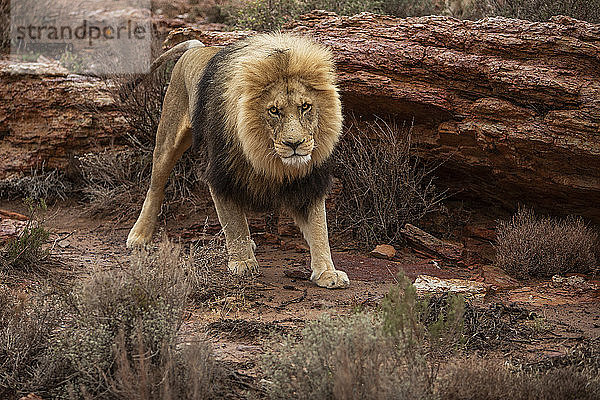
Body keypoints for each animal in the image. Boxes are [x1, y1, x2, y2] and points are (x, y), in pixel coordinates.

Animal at [127, 31, 352, 288]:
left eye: (305, 107)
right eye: (274, 111)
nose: (294, 144)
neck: (265, 156)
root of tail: (196, 48)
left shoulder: (309, 181)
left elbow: (318, 228)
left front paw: (327, 272)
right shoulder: (222, 175)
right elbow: (234, 220)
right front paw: (243, 261)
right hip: (168, 138)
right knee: (156, 186)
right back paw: (139, 234)